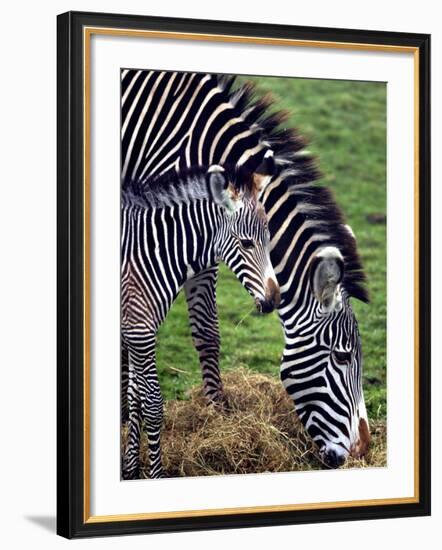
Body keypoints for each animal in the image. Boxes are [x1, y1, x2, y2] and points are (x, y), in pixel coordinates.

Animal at [120, 163, 280, 478]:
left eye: (269, 240)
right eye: (246, 243)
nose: (273, 301)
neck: (150, 253)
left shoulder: (135, 332)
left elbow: (134, 397)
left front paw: (130, 468)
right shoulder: (139, 332)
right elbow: (152, 403)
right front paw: (155, 474)